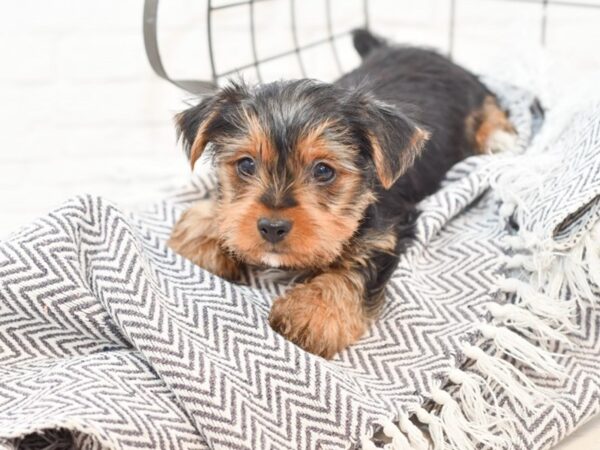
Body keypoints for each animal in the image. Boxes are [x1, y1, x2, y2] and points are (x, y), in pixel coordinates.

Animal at [168, 29, 516, 358]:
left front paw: (312, 313)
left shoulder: (384, 233)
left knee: (493, 111)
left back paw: (499, 138)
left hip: (475, 92)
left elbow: (353, 268)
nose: (271, 227)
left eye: (324, 171)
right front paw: (204, 234)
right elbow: (224, 209)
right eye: (246, 164)